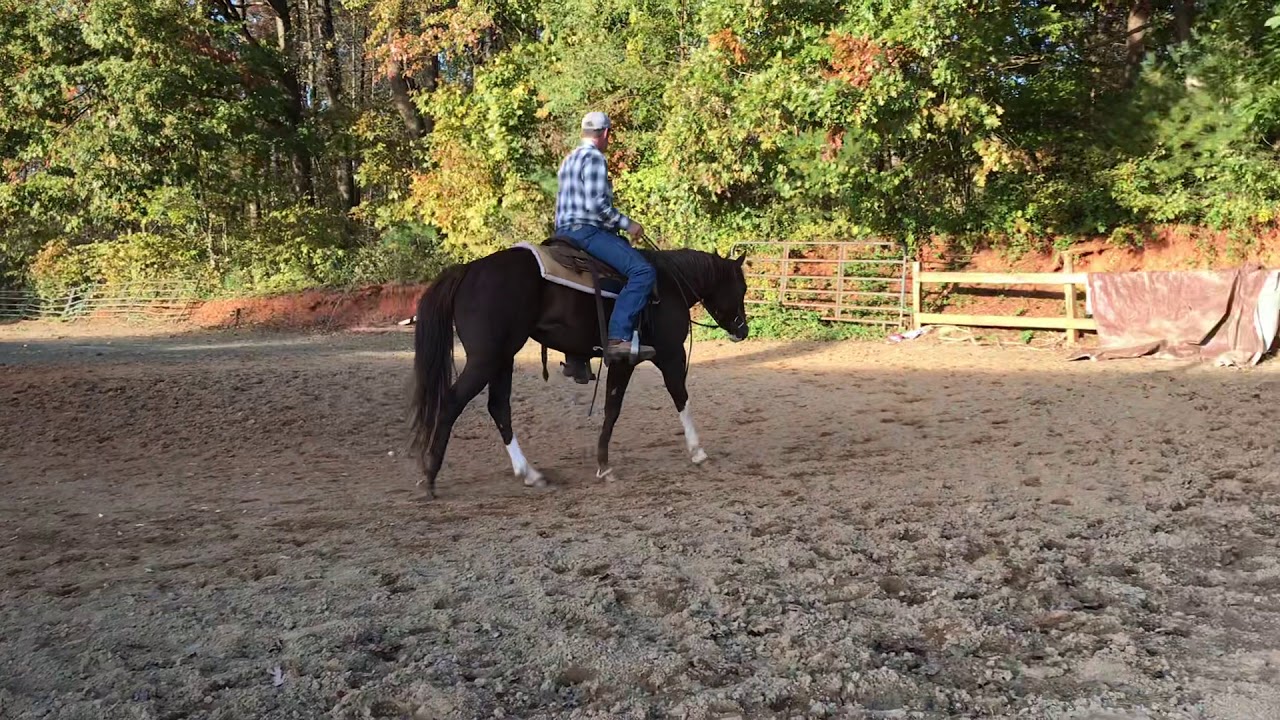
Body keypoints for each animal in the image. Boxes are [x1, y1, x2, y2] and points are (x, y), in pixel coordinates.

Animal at [408, 239, 750, 497]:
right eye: (742, 288)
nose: (743, 330)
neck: (668, 285)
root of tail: (468, 270)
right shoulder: (668, 354)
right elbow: (678, 398)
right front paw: (698, 452)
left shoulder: (624, 361)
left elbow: (612, 407)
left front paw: (603, 464)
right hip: (486, 359)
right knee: (452, 402)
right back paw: (430, 477)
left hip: (503, 358)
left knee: (499, 407)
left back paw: (530, 474)